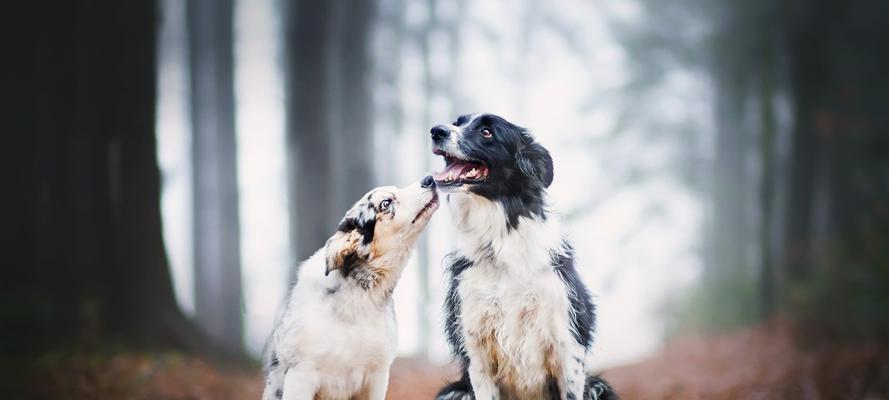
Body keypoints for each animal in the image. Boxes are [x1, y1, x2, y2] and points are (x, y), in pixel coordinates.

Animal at [430, 113, 616, 400]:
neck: (500, 241)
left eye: (487, 132)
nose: (436, 131)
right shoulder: (476, 350)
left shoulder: (567, 344)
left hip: (598, 386)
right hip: (454, 392)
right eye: (457, 122)